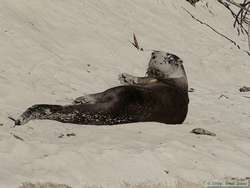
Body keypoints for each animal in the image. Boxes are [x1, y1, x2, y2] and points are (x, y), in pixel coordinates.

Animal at [11, 50, 188, 125]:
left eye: (168, 58)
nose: (154, 53)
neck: (177, 81)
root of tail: (119, 108)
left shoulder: (153, 80)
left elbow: (142, 79)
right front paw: (126, 75)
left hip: (118, 91)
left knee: (99, 94)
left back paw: (83, 98)